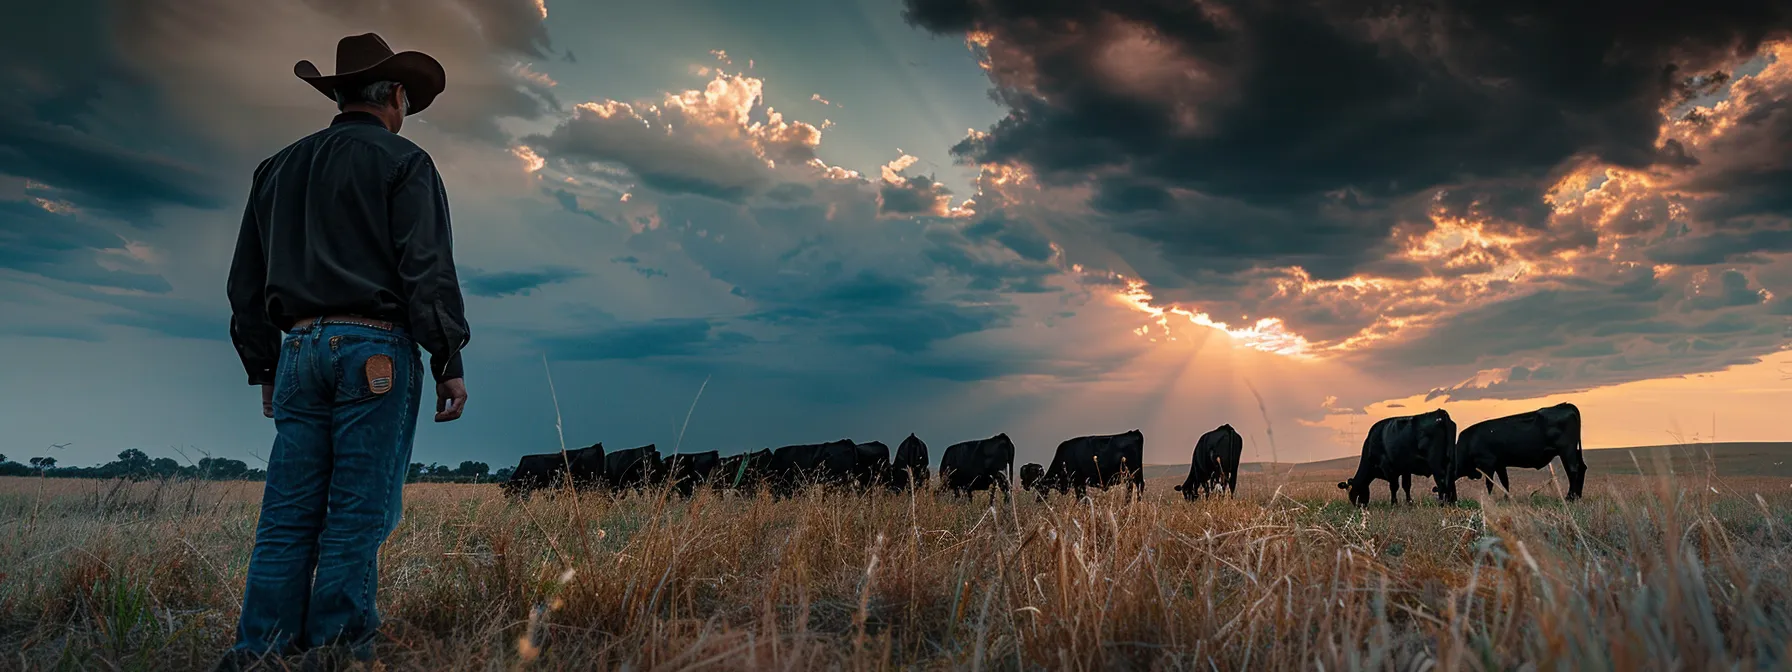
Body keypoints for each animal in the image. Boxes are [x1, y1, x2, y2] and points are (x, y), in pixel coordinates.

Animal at [1447, 403, 1591, 501]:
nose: (1448, 500)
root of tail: (1565, 405)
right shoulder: (1500, 464)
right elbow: (1505, 482)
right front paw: (1506, 499)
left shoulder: (1487, 463)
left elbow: (1490, 483)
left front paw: (1489, 499)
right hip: (1573, 451)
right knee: (1581, 468)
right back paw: (1577, 496)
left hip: (1567, 451)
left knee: (1573, 470)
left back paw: (1570, 497)